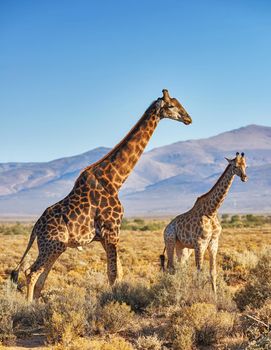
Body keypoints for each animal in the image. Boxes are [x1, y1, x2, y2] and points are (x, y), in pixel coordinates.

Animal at [11, 89, 192, 300]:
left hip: (56, 246)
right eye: (171, 105)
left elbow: (118, 271)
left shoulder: (107, 235)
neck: (115, 180)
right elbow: (113, 273)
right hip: (51, 245)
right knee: (31, 272)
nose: (188, 118)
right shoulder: (112, 230)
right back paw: (27, 305)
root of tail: (35, 229)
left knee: (40, 277)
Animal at [162, 153, 249, 296]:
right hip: (170, 241)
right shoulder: (200, 243)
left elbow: (212, 272)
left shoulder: (213, 242)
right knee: (170, 267)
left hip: (183, 248)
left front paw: (215, 296)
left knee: (180, 268)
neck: (211, 211)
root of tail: (166, 227)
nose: (244, 177)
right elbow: (199, 272)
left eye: (245, 166)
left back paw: (180, 289)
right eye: (235, 166)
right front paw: (199, 295)